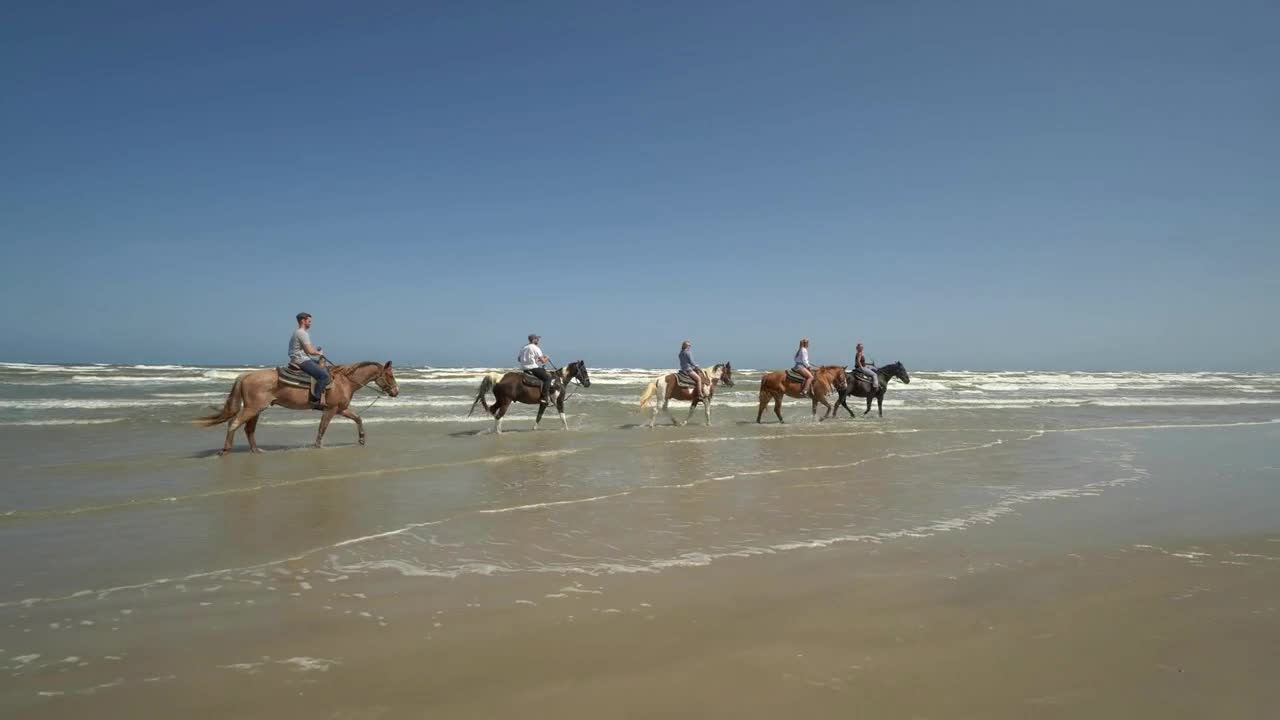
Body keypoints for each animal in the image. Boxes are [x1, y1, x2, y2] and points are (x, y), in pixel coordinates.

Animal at [195, 358, 399, 453]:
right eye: (390, 375)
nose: (396, 392)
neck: (345, 381)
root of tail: (245, 375)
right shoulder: (331, 410)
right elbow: (322, 428)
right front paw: (318, 446)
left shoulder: (341, 409)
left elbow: (358, 418)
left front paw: (362, 439)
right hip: (252, 408)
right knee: (234, 423)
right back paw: (225, 450)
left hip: (257, 409)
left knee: (248, 429)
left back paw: (256, 450)